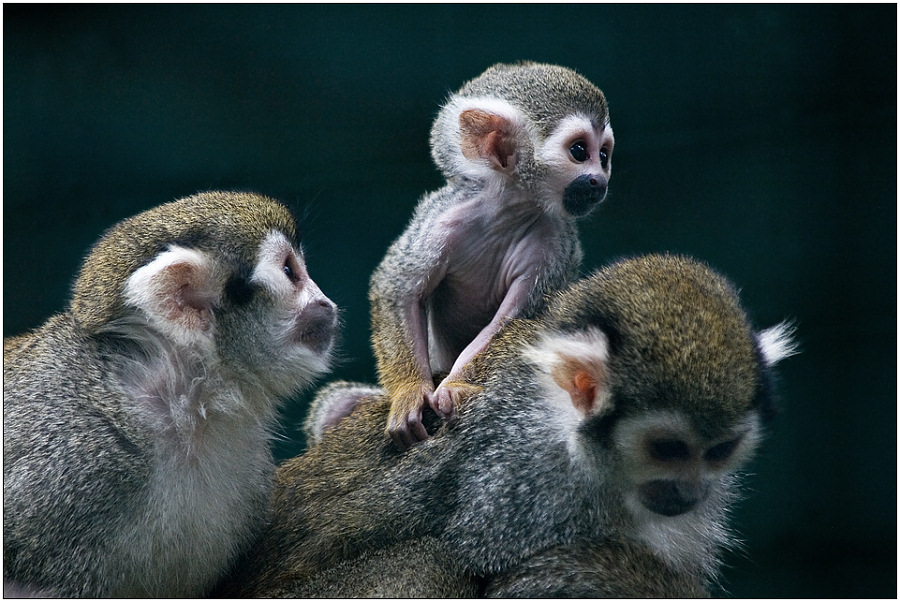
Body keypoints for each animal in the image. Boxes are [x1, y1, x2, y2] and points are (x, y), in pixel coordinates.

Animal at [370, 61, 616, 448]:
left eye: (603, 155)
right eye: (580, 151)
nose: (599, 180)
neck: (508, 212)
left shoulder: (552, 245)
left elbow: (512, 321)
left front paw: (455, 385)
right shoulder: (443, 221)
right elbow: (398, 290)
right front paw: (409, 391)